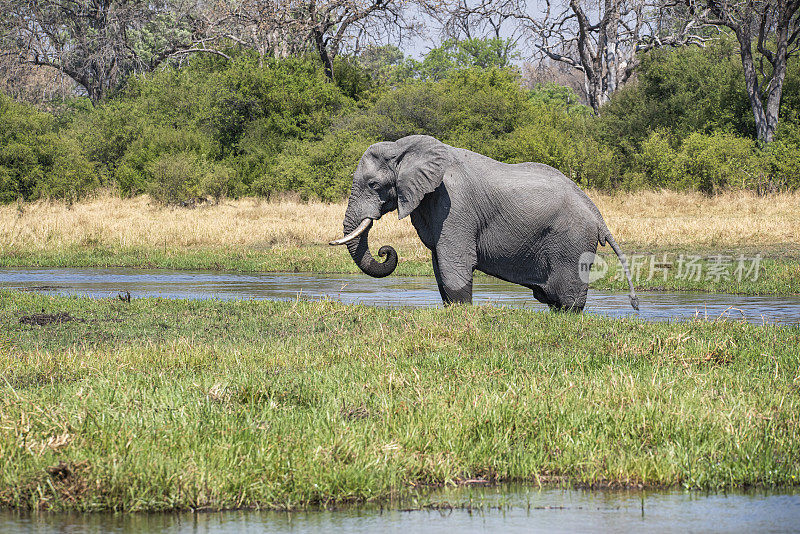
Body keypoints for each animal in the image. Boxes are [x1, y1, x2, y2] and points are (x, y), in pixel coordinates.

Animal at [330, 136, 636, 312]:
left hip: (572, 242)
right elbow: (439, 264)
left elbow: (454, 263)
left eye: (373, 185)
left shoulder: (454, 204)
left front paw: (462, 314)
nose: (385, 250)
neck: (404, 149)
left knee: (569, 298)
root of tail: (597, 214)